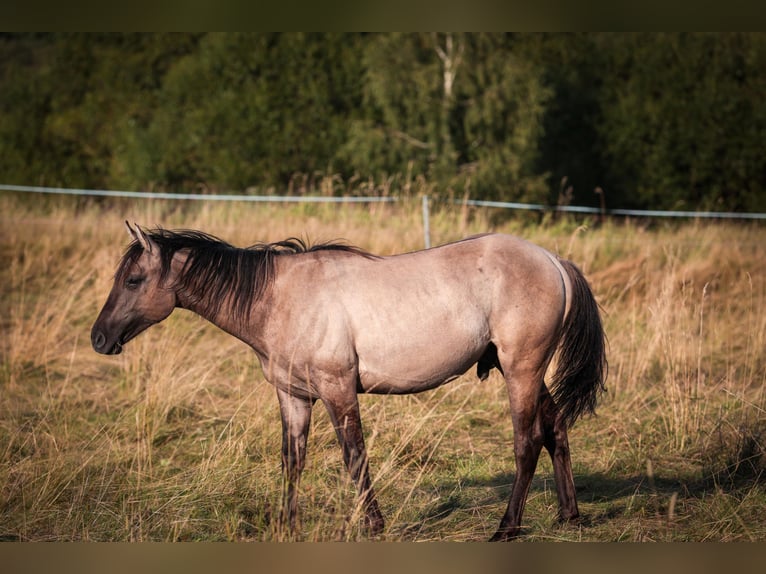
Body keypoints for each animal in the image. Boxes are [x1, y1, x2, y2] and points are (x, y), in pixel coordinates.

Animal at [91, 222, 606, 541]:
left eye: (134, 280)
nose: (99, 338)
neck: (279, 298)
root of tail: (554, 261)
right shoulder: (294, 396)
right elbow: (292, 460)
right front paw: (288, 524)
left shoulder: (337, 390)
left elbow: (355, 457)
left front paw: (373, 525)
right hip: (520, 369)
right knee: (556, 429)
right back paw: (570, 516)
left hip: (521, 369)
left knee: (527, 441)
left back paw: (506, 529)